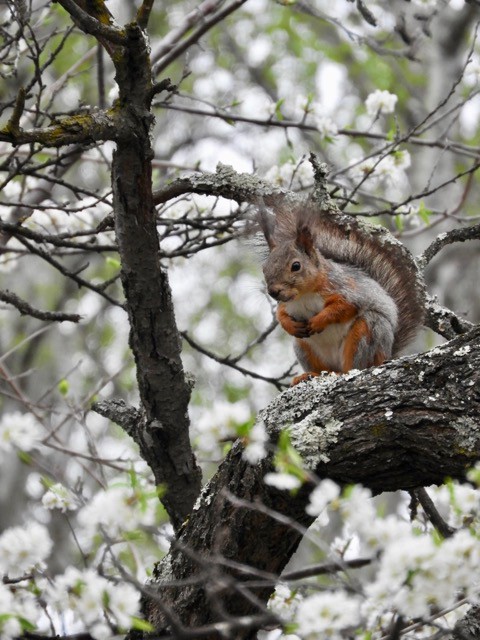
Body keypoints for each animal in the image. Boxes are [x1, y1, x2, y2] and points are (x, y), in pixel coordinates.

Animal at [256, 200, 426, 384]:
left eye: (296, 266)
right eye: (264, 268)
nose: (273, 292)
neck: (303, 295)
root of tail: (386, 356)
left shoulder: (346, 289)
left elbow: (343, 307)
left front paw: (318, 321)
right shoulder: (286, 304)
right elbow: (281, 314)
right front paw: (289, 325)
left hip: (368, 332)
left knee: (355, 366)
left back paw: (343, 373)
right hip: (303, 346)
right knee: (324, 369)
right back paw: (310, 375)